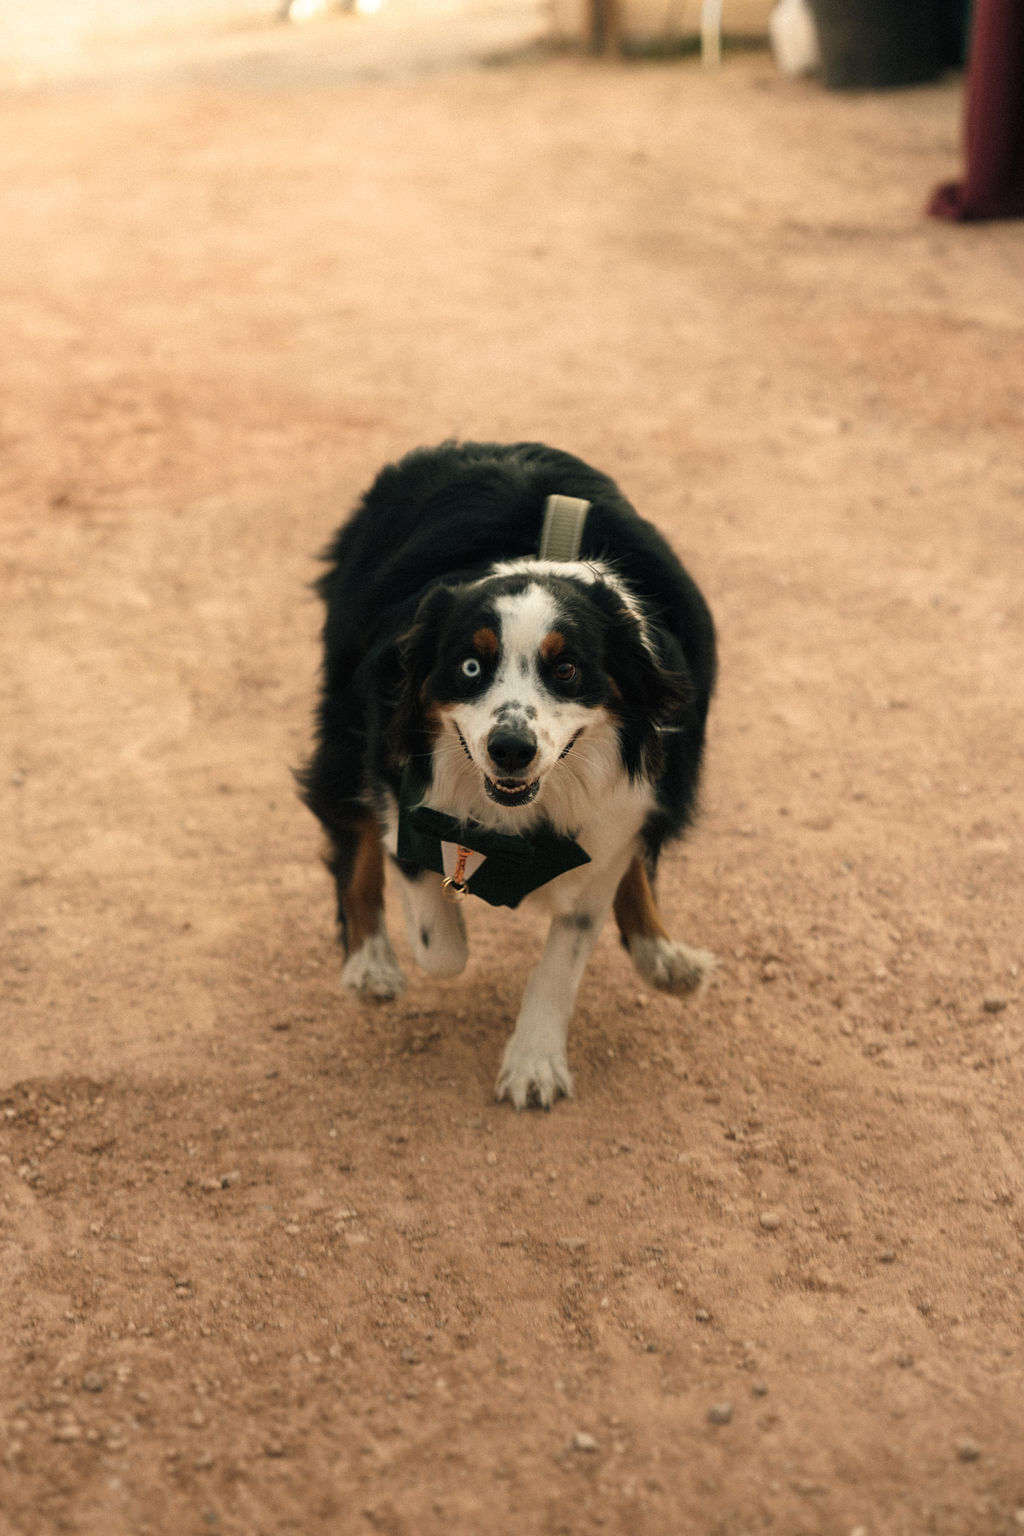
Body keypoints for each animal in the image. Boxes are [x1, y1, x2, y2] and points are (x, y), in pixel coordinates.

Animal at [300, 442, 718, 1105]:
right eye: (471, 666)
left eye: (567, 670)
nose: (511, 750)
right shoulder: (398, 771)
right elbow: (440, 940)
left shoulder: (619, 815)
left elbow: (565, 955)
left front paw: (534, 1065)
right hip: (344, 713)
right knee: (350, 830)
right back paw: (370, 964)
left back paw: (662, 954)